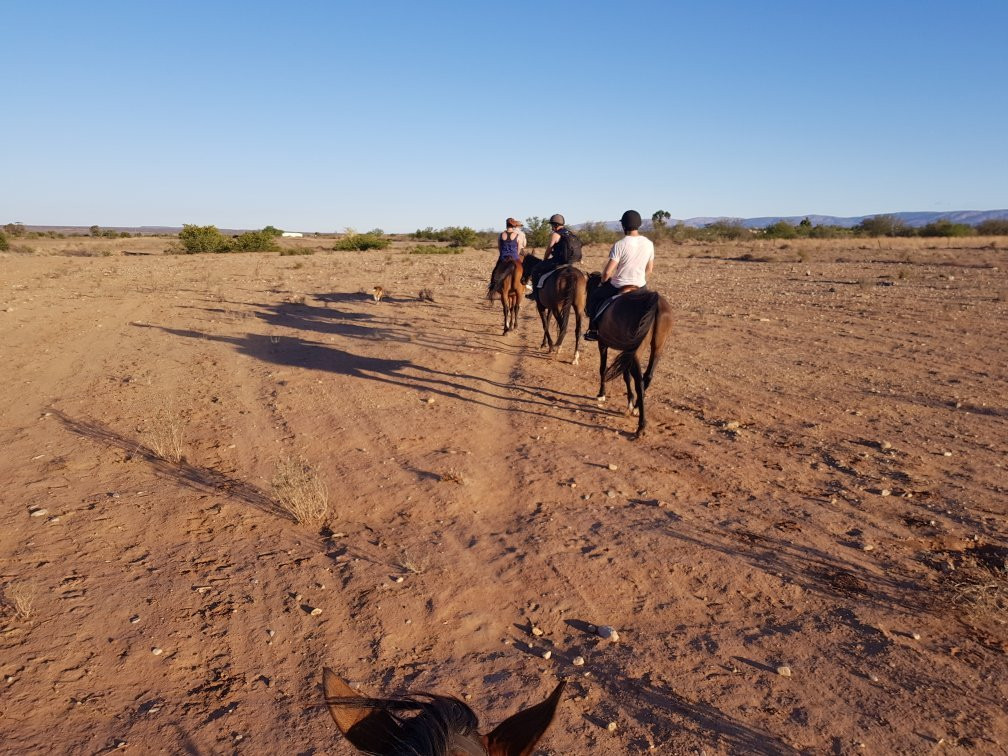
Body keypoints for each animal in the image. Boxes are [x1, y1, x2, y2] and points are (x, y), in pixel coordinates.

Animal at [588, 272, 673, 437]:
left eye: (590, 291)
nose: (587, 310)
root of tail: (656, 304)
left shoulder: (603, 343)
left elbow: (603, 368)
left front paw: (601, 394)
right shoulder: (626, 351)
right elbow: (626, 375)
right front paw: (631, 403)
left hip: (635, 351)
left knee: (639, 381)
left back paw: (641, 426)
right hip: (657, 348)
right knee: (647, 377)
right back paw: (637, 408)